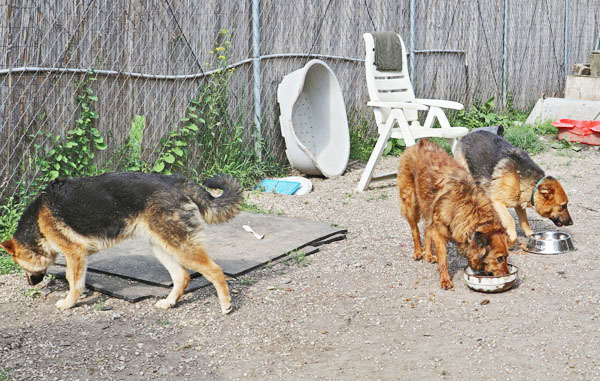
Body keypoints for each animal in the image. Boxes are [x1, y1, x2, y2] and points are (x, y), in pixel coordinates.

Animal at [1, 172, 244, 312]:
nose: (30, 284)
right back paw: (169, 302)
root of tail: (177, 182)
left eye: (21, 265)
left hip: (179, 246)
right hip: (161, 247)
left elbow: (72, 281)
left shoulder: (74, 253)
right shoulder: (80, 257)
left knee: (215, 270)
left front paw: (69, 303)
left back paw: (225, 304)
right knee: (182, 276)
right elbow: (77, 280)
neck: (38, 221)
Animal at [396, 140, 508, 288]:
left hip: (427, 206)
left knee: (426, 230)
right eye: (500, 258)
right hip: (410, 201)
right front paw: (445, 279)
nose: (507, 275)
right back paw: (418, 251)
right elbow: (443, 258)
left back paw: (428, 254)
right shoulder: (439, 231)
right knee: (415, 230)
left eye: (507, 257)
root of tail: (418, 144)